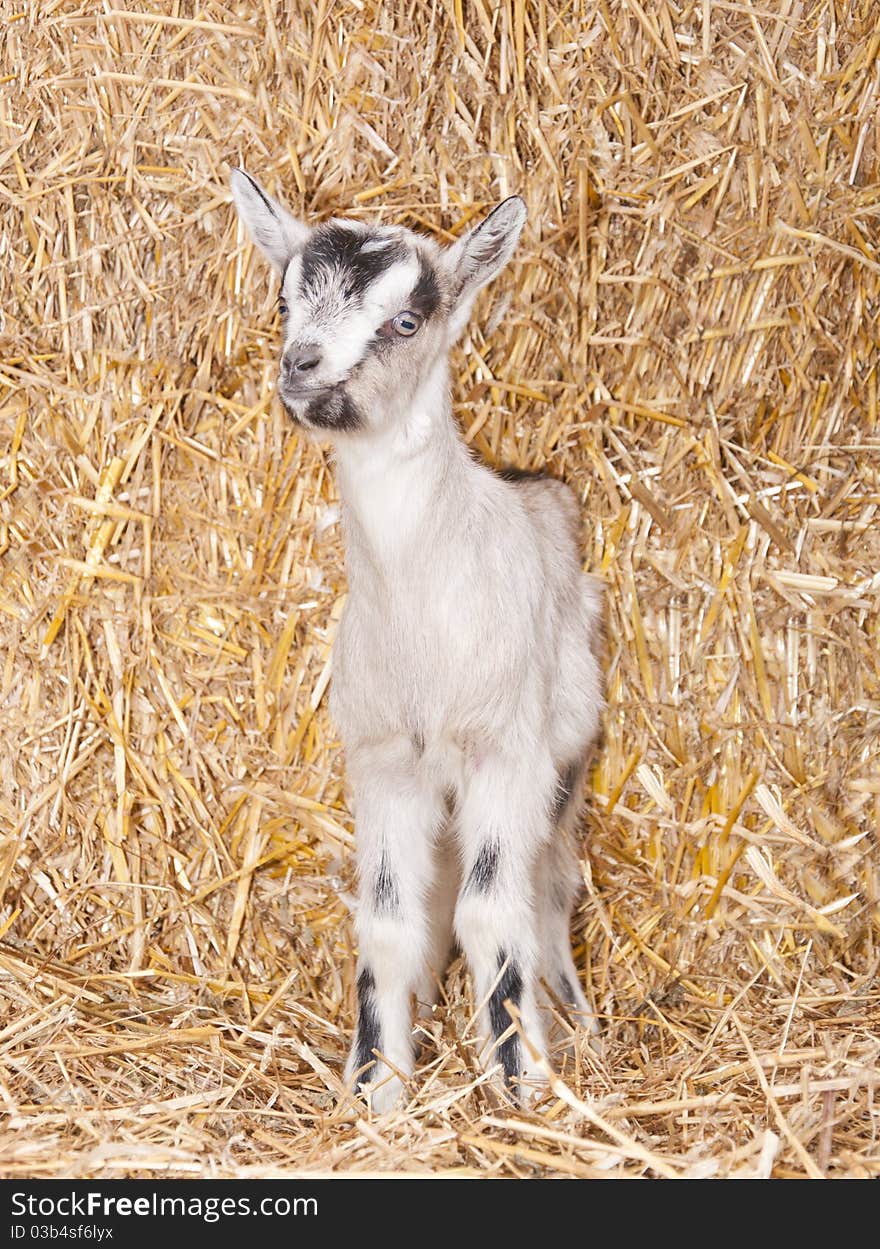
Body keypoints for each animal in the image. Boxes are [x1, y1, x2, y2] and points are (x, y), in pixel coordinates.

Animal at [232, 168, 604, 1114]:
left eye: (406, 320)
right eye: (284, 300)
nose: (302, 366)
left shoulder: (505, 749)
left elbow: (491, 909)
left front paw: (519, 1077)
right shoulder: (384, 760)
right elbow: (391, 919)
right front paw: (376, 1084)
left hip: (566, 763)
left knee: (548, 884)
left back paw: (572, 1014)